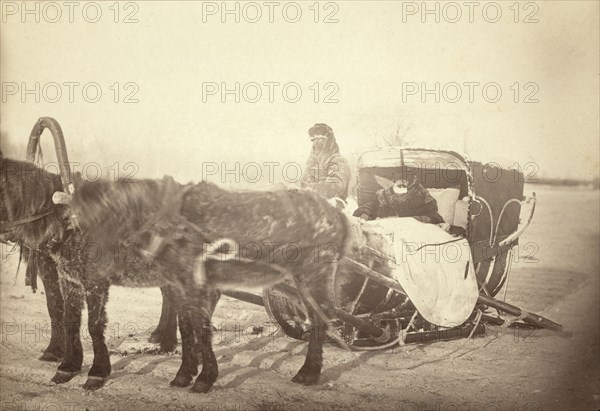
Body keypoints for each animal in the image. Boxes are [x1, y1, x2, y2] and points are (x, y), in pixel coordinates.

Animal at [67, 174, 352, 392]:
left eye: (104, 217)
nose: (89, 271)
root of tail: (337, 214)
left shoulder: (194, 286)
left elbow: (200, 328)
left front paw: (204, 378)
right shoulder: (181, 286)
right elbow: (187, 327)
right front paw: (185, 373)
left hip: (315, 273)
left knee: (319, 319)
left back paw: (309, 372)